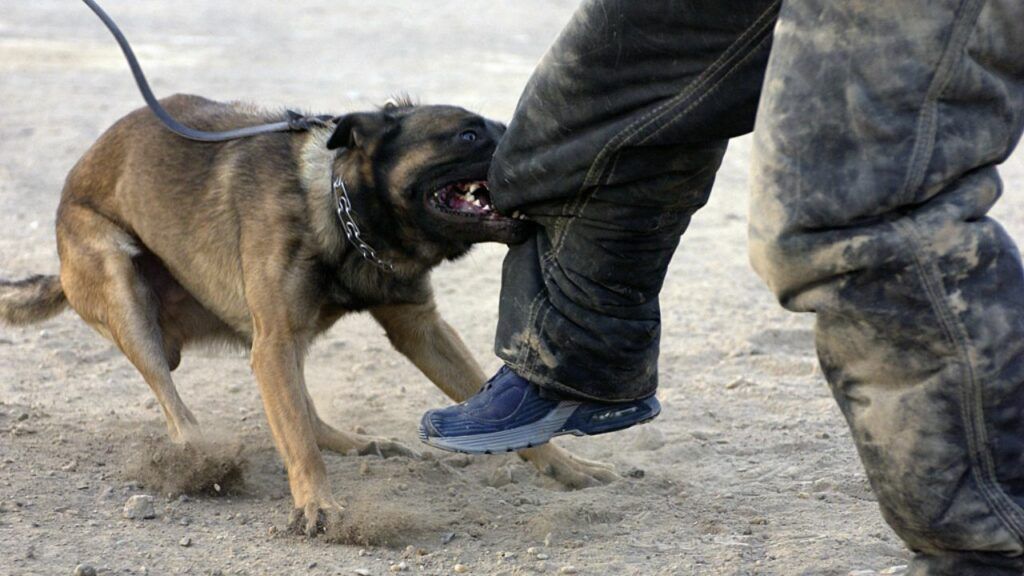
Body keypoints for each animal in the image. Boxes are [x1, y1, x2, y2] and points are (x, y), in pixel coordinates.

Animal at [0, 93, 614, 532]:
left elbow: (514, 424)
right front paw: (317, 504)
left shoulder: (420, 328)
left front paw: (568, 468)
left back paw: (355, 442)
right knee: (177, 403)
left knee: (307, 411)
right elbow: (294, 437)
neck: (343, 211)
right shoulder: (272, 341)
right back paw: (201, 457)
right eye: (467, 134)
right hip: (125, 291)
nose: (546, 160)